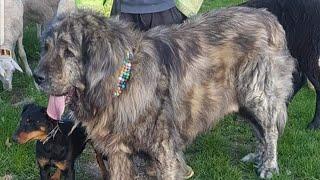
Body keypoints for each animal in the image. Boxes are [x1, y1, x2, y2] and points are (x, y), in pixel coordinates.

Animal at [34, 6, 296, 179]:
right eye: (46, 48)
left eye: (68, 52)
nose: (37, 77)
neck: (123, 79)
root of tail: (269, 17)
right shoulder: (118, 154)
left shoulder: (166, 154)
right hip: (242, 101)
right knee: (259, 130)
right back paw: (258, 157)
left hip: (257, 96)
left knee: (270, 131)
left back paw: (269, 165)